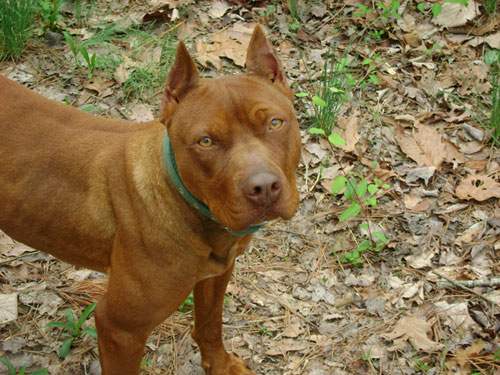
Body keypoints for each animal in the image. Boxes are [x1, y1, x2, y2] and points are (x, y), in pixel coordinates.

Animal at [0, 26, 300, 375]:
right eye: (206, 141)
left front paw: (220, 365)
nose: (264, 187)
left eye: (275, 123)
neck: (190, 207)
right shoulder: (120, 328)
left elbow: (210, 324)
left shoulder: (216, 274)